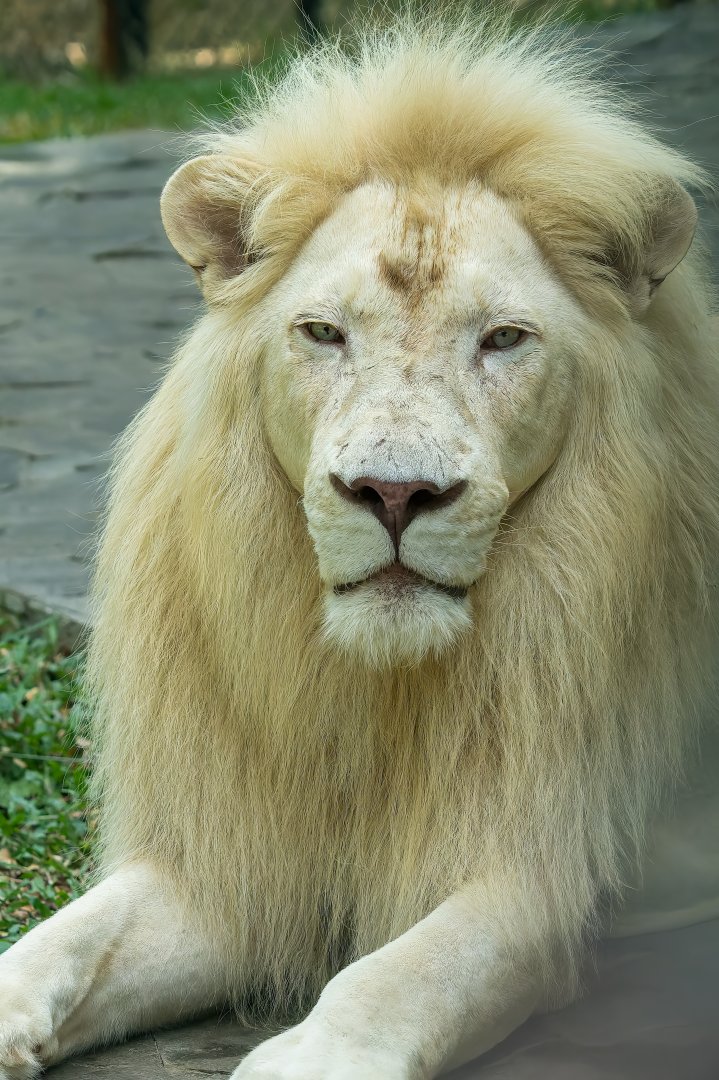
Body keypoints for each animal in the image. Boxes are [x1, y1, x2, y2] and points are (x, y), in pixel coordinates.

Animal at [1, 13, 718, 1080]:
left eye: (503, 339)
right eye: (322, 332)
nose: (393, 493)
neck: (373, 691)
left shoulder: (540, 873)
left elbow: (398, 974)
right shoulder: (236, 864)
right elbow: (66, 937)